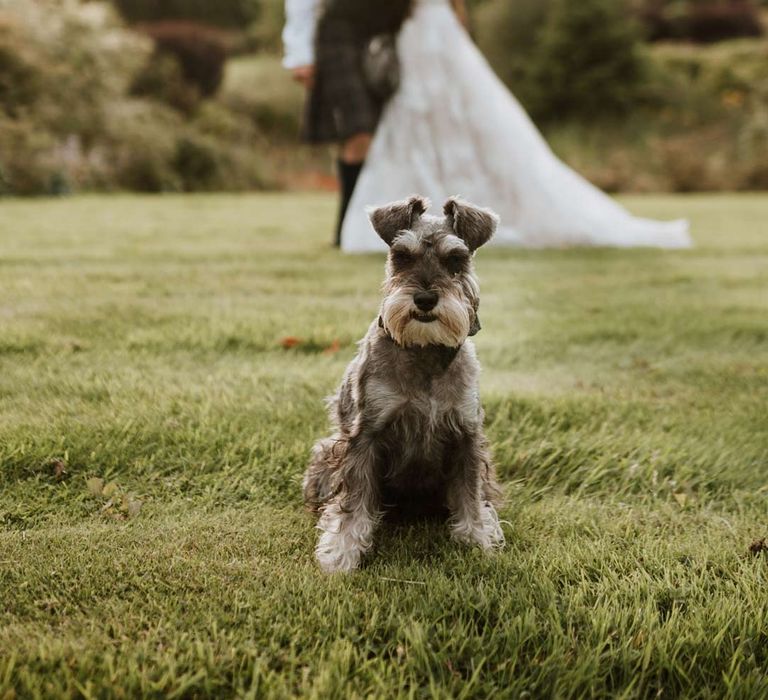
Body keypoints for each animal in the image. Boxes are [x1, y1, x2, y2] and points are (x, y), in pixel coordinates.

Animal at [306, 194, 504, 572]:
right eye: (402, 257)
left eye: (455, 260)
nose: (425, 300)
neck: (424, 352)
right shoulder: (365, 435)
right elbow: (352, 500)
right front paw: (341, 553)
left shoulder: (466, 435)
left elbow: (470, 494)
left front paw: (478, 541)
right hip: (326, 451)